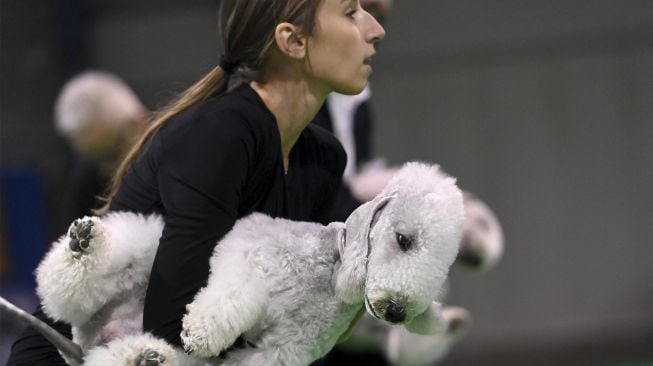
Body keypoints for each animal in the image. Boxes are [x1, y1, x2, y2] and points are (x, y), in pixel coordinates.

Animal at [34, 163, 464, 366]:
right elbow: (228, 300)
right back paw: (82, 245)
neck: (325, 276)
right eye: (404, 240)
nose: (397, 311)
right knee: (72, 287)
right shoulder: (247, 256)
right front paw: (200, 332)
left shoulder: (282, 352)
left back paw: (145, 358)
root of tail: (86, 337)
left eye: (444, 268)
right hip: (146, 247)